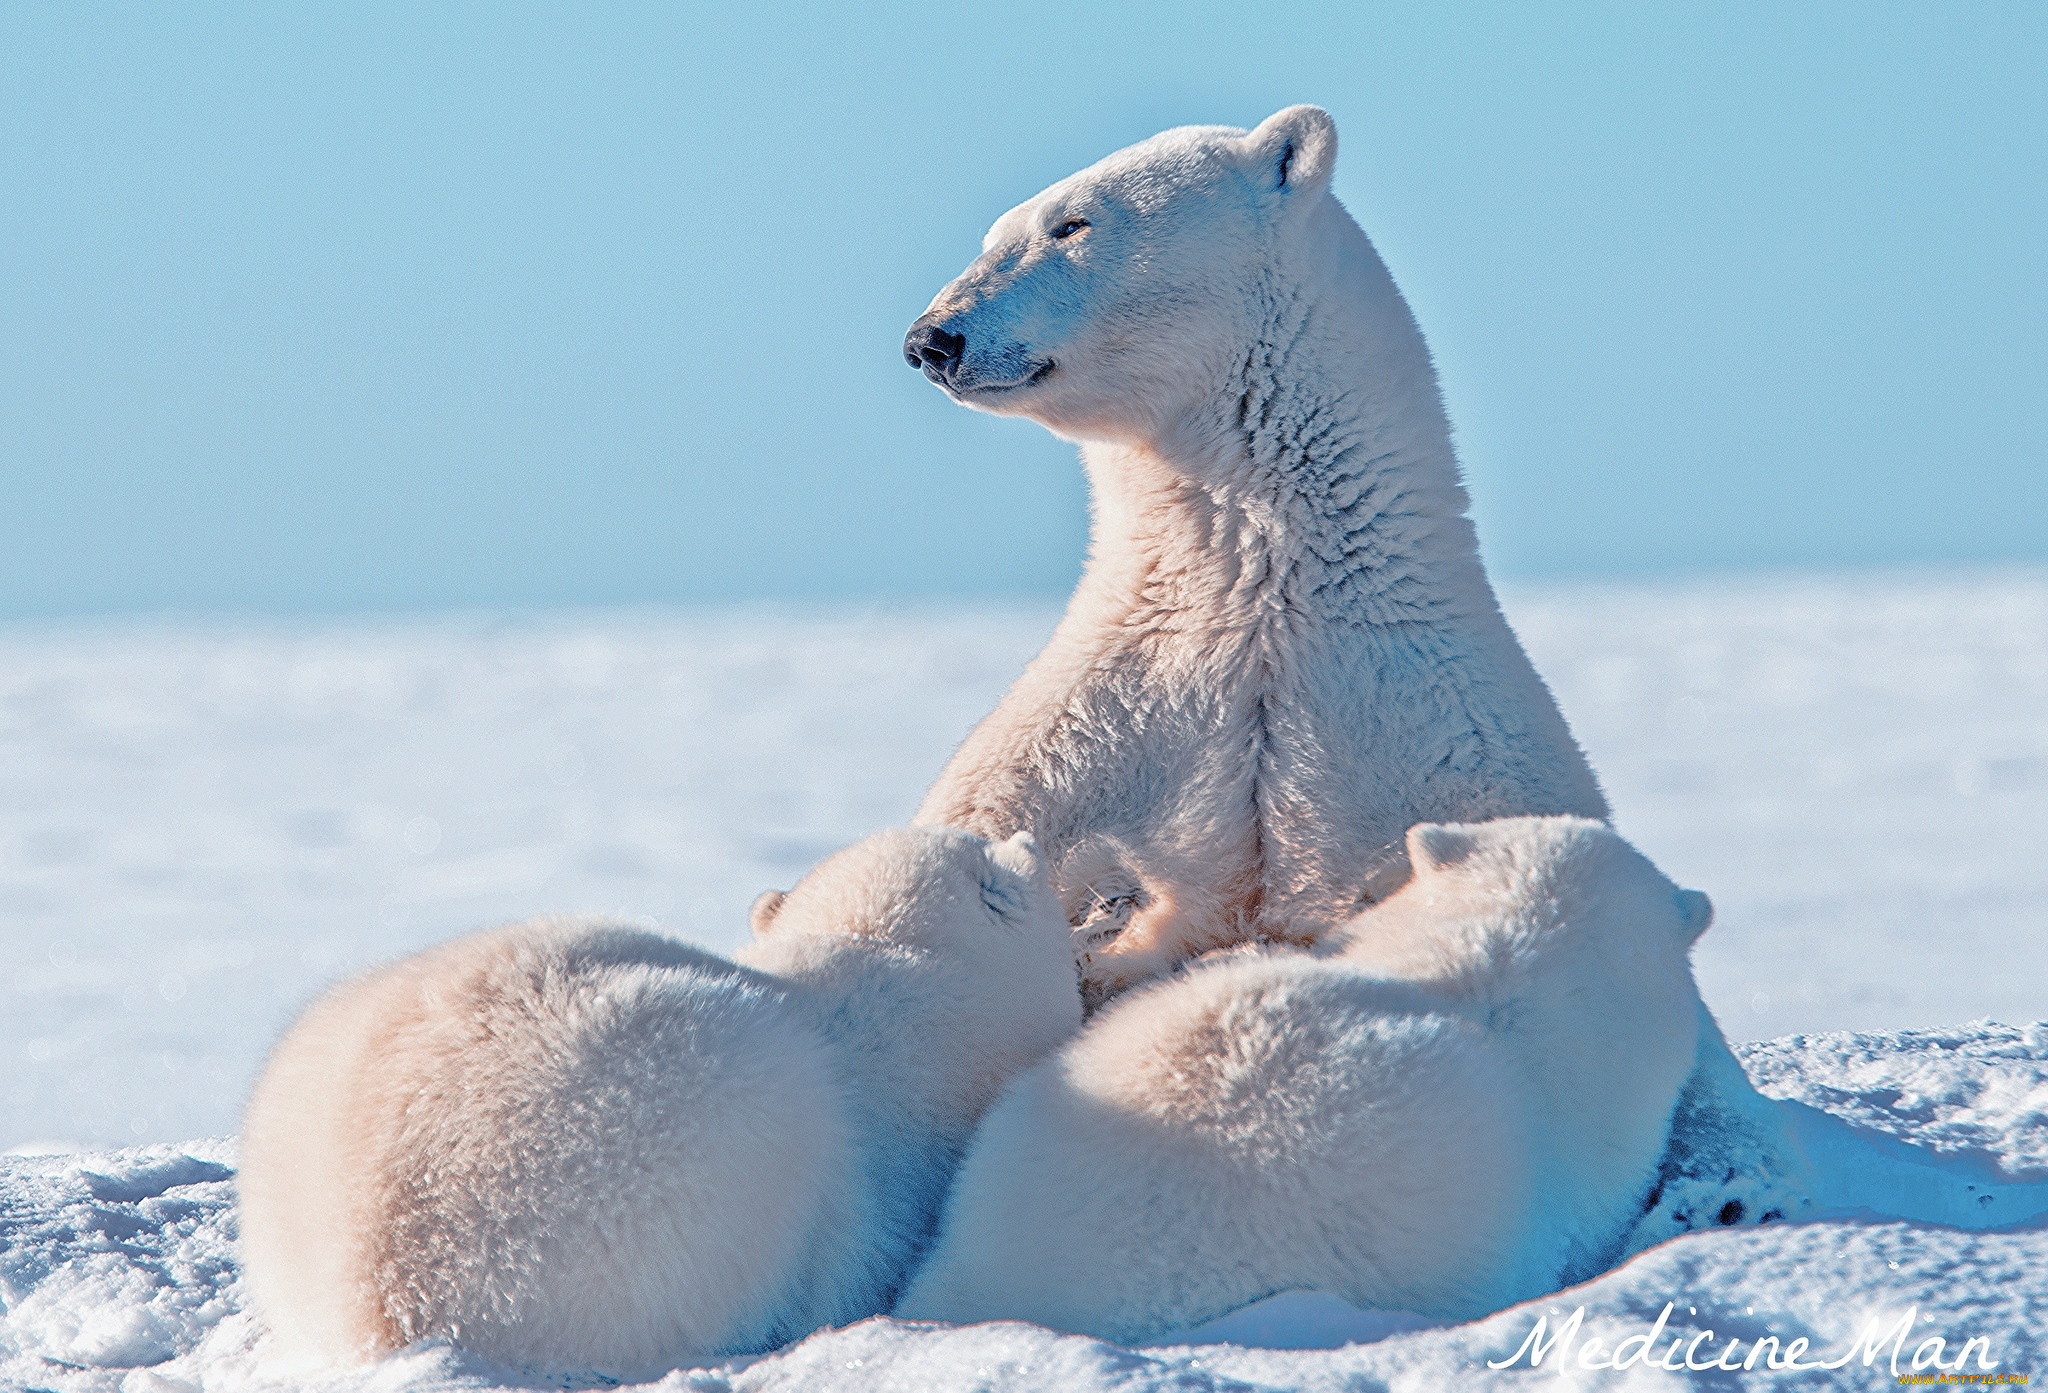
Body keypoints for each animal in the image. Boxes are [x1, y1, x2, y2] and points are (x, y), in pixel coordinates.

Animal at [905, 106, 1802, 1237]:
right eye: (997, 229)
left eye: (1070, 223)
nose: (932, 337)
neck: (1272, 596)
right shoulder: (1113, 708)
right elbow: (993, 823)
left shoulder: (1441, 730)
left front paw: (1728, 1186)